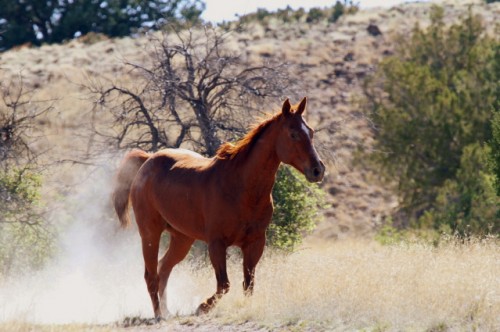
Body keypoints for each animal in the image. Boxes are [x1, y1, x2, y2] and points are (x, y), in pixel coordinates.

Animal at [112, 97, 326, 320]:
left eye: (311, 132)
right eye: (293, 134)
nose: (318, 170)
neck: (241, 188)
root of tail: (147, 161)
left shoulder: (255, 243)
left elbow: (248, 284)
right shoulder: (216, 243)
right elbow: (224, 284)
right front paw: (202, 307)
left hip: (182, 238)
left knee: (163, 268)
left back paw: (167, 311)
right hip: (150, 233)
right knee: (151, 275)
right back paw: (159, 315)